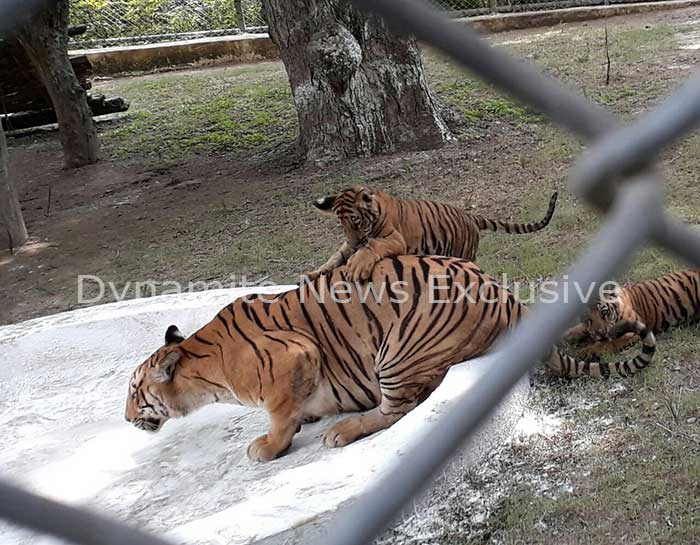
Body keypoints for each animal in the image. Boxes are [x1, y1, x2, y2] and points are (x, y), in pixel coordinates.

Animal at [127, 255, 656, 460]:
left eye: (135, 392)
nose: (127, 418)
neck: (200, 361)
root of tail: (508, 300)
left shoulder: (296, 355)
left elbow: (279, 417)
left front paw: (269, 445)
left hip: (397, 351)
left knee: (398, 410)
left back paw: (343, 431)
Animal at [306, 186, 556, 280]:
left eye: (356, 222)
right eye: (342, 224)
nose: (355, 242)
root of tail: (469, 216)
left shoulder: (393, 239)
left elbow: (372, 246)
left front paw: (357, 266)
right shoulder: (348, 244)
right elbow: (335, 257)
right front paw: (313, 273)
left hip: (463, 253)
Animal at [568, 266, 696, 352]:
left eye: (604, 312)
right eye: (588, 320)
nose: (601, 334)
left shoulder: (633, 332)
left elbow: (608, 344)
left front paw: (585, 353)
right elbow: (580, 328)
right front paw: (568, 336)